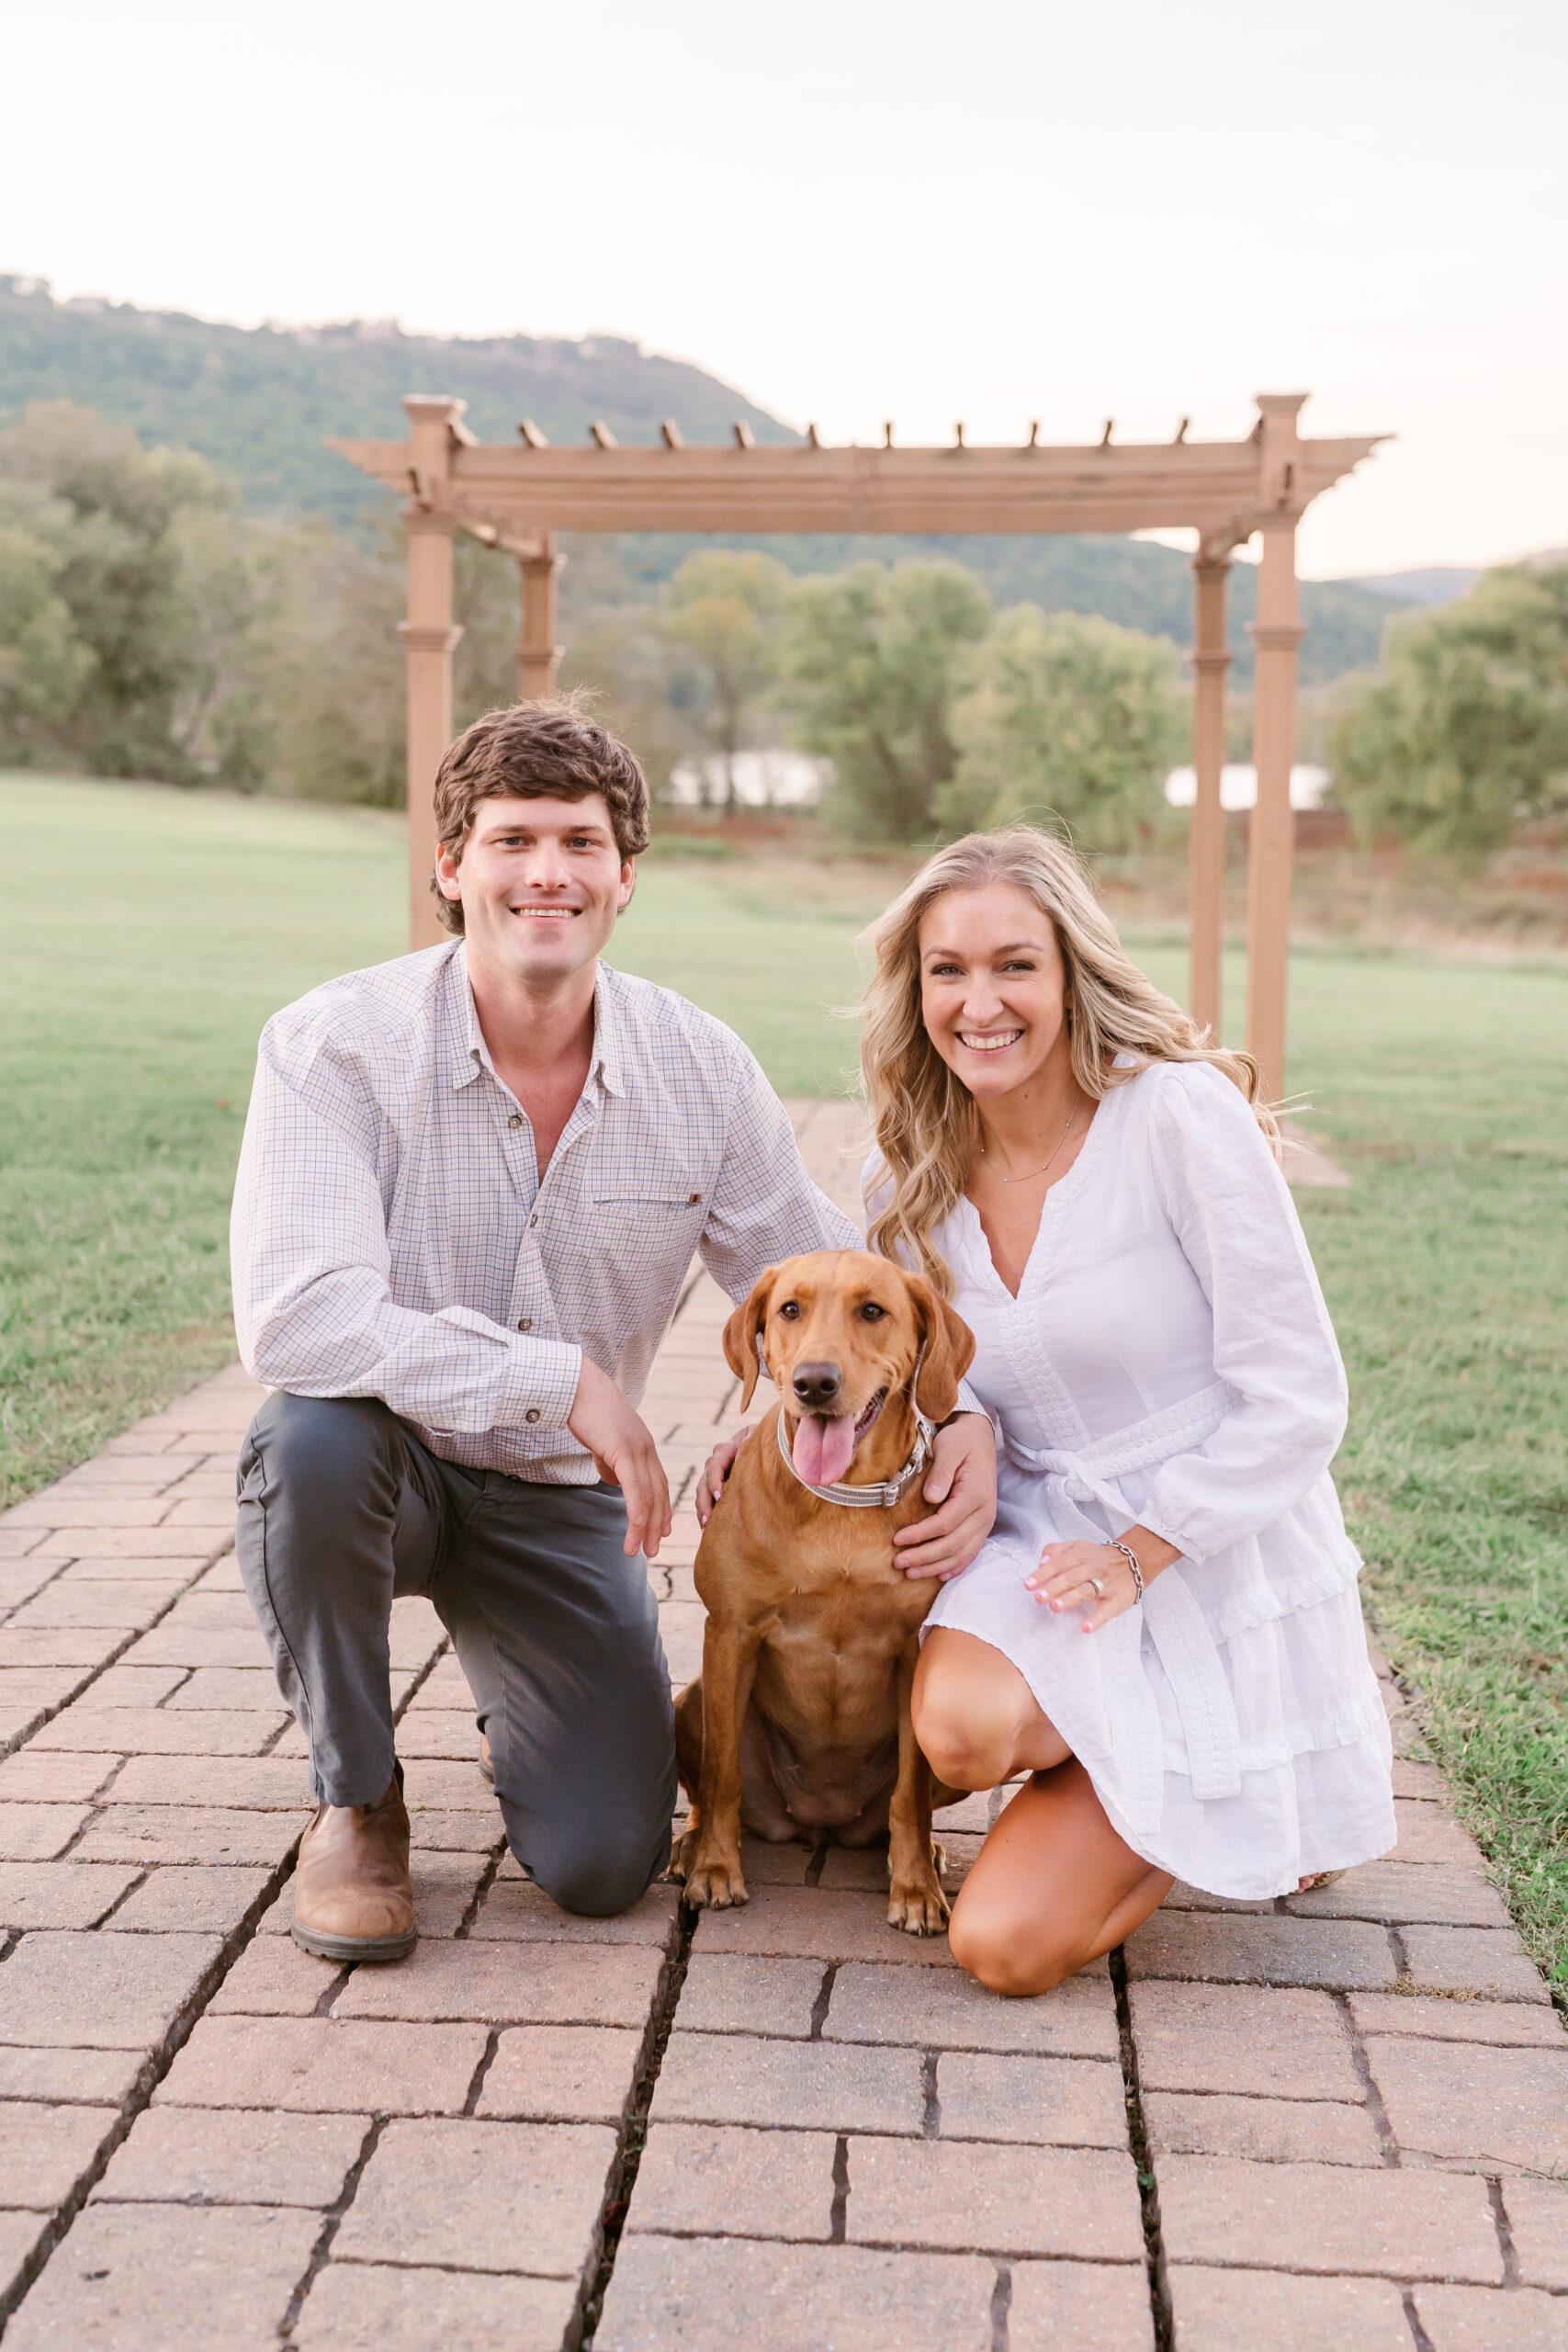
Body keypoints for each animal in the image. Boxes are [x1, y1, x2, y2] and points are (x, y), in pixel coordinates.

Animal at [667, 1250, 973, 1928]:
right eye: (789, 1309)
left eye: (872, 1310)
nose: (813, 1383)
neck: (843, 1504)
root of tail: (820, 1825)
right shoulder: (730, 1633)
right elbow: (721, 1776)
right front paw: (715, 1869)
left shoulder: (915, 1649)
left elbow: (910, 1793)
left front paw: (914, 1886)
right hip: (693, 1699)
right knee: (706, 1783)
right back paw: (689, 1847)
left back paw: (926, 1854)